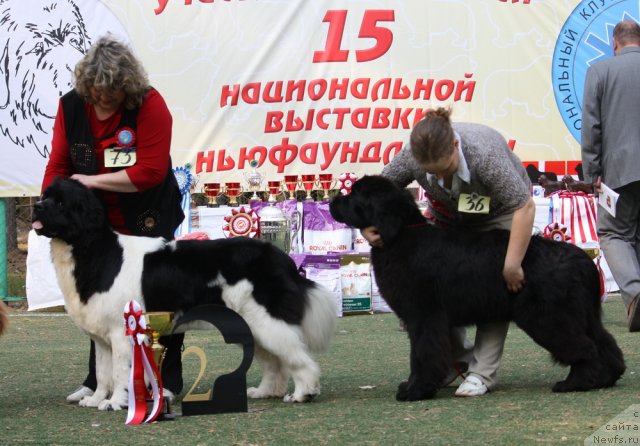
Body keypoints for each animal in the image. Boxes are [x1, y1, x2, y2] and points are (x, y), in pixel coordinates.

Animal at [32, 178, 338, 412]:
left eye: (61, 203)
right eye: (45, 196)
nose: (36, 206)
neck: (92, 248)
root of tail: (281, 258)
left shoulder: (121, 332)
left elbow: (119, 371)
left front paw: (115, 402)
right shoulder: (102, 338)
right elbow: (103, 371)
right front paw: (96, 400)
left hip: (266, 321)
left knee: (299, 359)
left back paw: (303, 393)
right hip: (252, 325)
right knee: (275, 362)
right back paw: (265, 391)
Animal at [330, 174, 624, 400]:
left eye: (355, 194)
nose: (332, 200)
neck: (400, 235)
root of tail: (581, 259)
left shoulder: (423, 315)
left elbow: (421, 354)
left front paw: (414, 390)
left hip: (548, 316)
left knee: (585, 347)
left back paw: (575, 383)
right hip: (580, 313)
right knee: (603, 341)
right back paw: (607, 377)